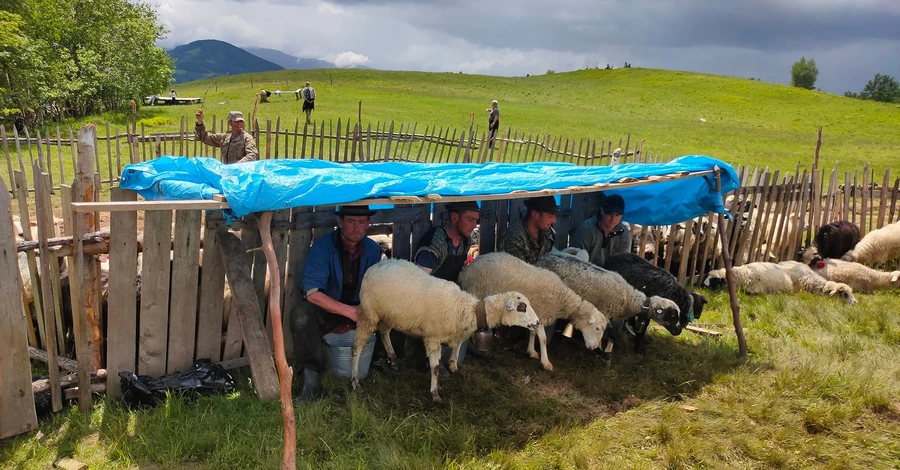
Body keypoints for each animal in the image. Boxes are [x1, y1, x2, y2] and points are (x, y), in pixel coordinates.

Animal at [350, 258, 536, 402]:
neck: (466, 308)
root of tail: (374, 266)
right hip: (368, 314)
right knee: (357, 348)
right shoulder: (432, 338)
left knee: (384, 332)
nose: (537, 321)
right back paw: (355, 381)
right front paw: (435, 393)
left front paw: (449, 370)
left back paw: (393, 358)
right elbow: (435, 367)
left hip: (390, 315)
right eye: (522, 307)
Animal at [460, 252, 608, 372]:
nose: (595, 347)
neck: (561, 299)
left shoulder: (535, 316)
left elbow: (532, 333)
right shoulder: (541, 314)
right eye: (597, 328)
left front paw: (531, 351)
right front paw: (546, 363)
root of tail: (469, 266)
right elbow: (543, 339)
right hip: (476, 291)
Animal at [536, 250, 680, 352]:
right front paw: (602, 352)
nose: (679, 331)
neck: (630, 298)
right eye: (673, 315)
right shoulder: (603, 312)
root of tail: (544, 256)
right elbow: (609, 334)